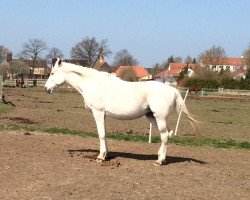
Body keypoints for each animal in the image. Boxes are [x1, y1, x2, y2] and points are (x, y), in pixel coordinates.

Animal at [44, 58, 197, 166]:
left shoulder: (98, 112)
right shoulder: (103, 115)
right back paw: (161, 158)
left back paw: (159, 161)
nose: (46, 88)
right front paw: (106, 155)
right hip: (152, 117)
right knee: (166, 135)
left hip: (159, 118)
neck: (93, 83)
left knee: (165, 136)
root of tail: (172, 90)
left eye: (52, 73)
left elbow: (101, 134)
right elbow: (105, 134)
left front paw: (100, 157)